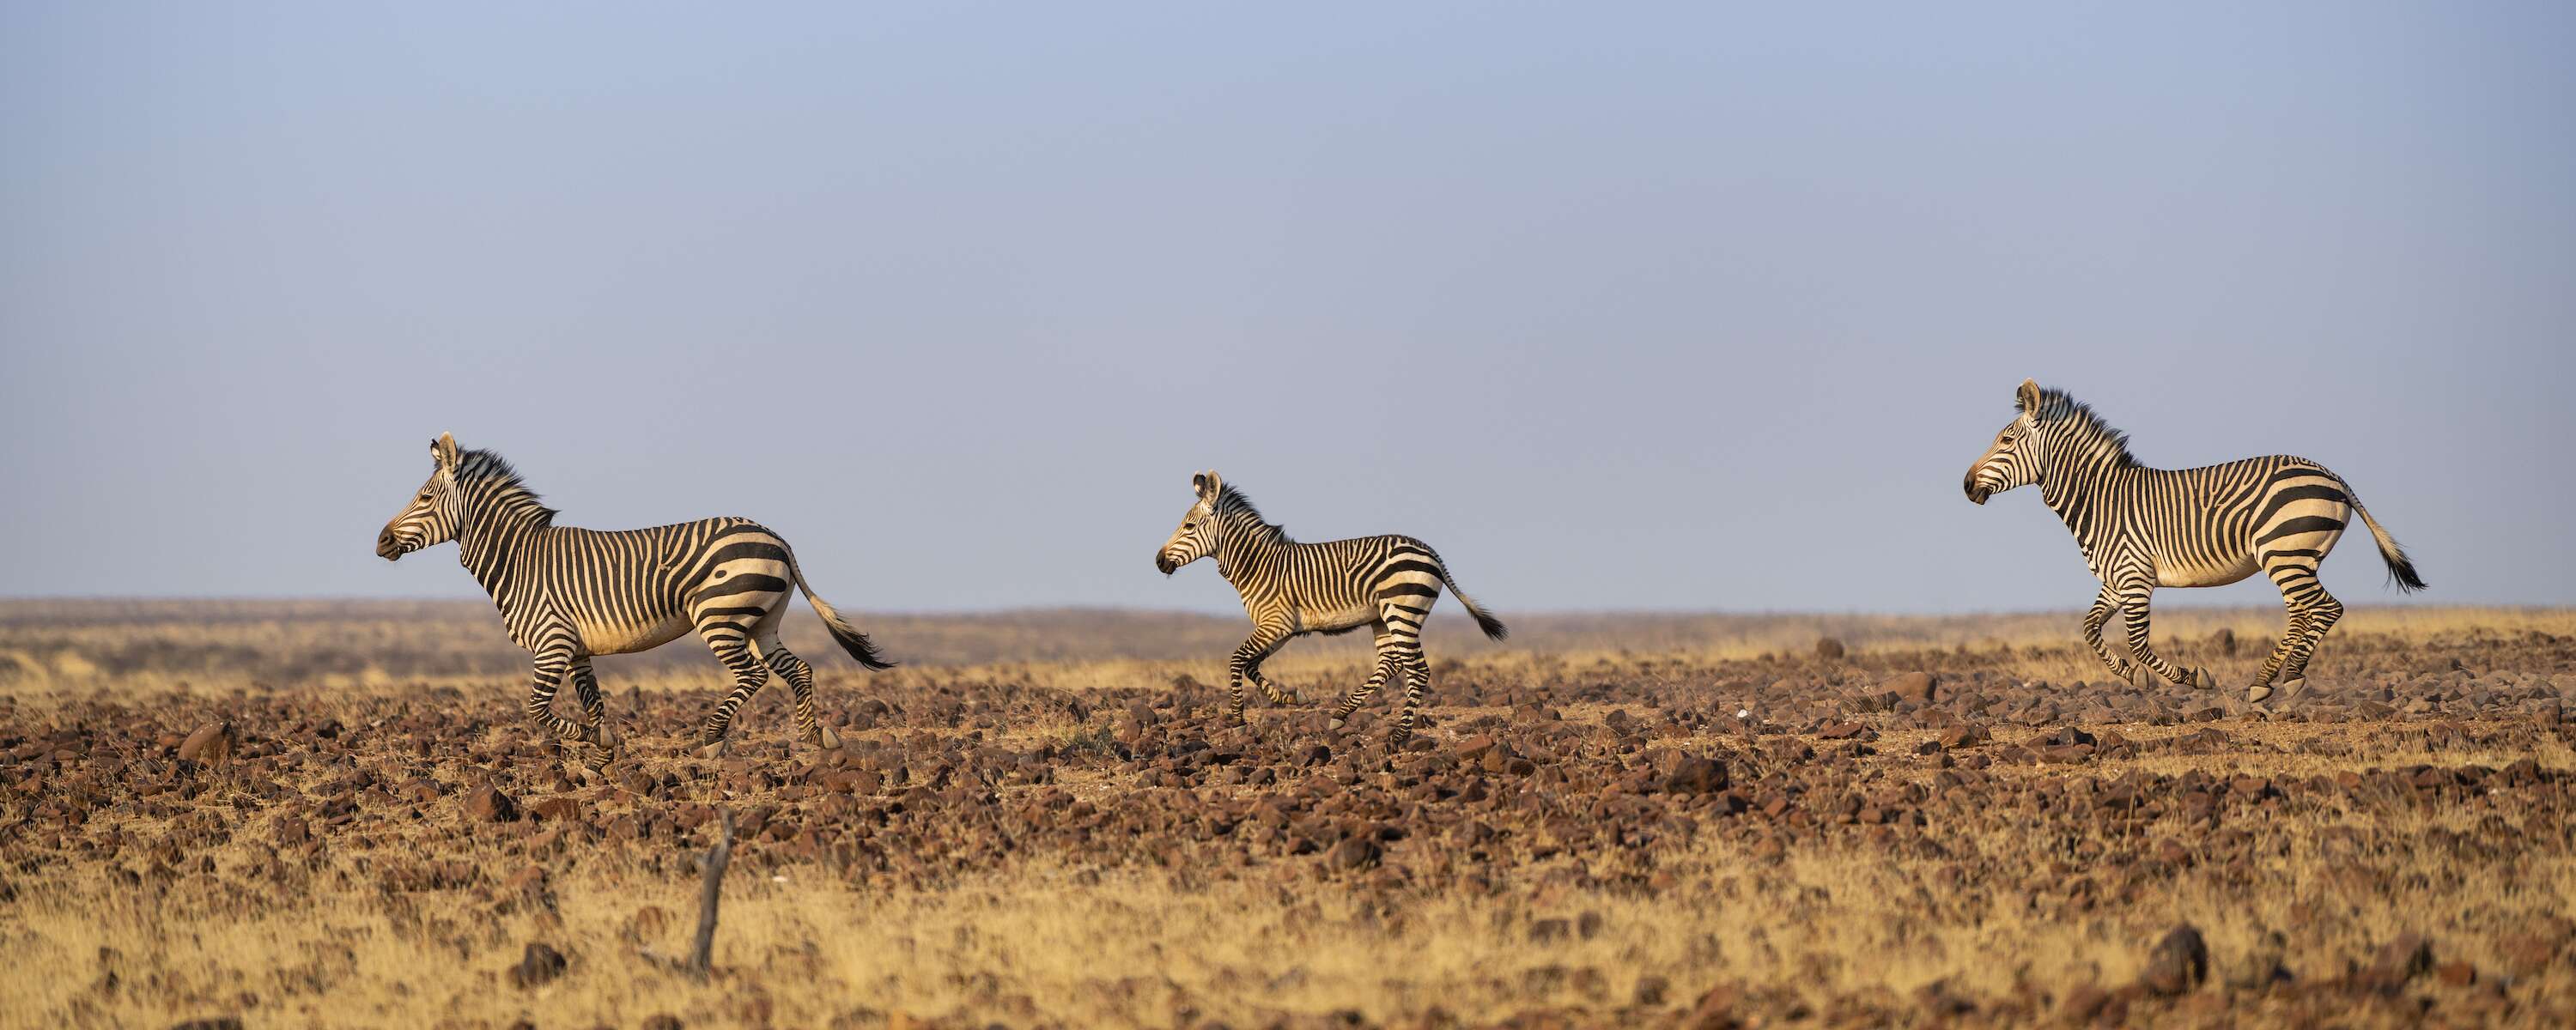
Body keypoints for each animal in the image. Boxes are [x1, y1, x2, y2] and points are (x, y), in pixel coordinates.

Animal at [368, 433, 896, 762]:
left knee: (755, 675)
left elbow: (539, 711)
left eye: (425, 498)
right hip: (761, 622)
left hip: (720, 616)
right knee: (798, 670)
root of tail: (777, 538)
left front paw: (591, 741)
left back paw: (713, 740)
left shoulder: (552, 642)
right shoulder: (576, 648)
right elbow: (592, 701)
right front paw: (602, 754)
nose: (381, 542)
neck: (518, 559)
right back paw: (819, 739)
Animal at [1154, 471, 1504, 747]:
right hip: (1382, 618)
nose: (1158, 561)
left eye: (1188, 526)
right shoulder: (1282, 628)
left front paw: (1238, 719)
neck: (1258, 565)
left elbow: (1237, 659)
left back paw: (1400, 735)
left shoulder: (1277, 623)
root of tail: (1430, 552)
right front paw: (1290, 698)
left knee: (1417, 670)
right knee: (1390, 664)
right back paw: (1341, 714)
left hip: (1401, 612)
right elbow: (1251, 665)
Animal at [1958, 381, 2421, 706]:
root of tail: (2332, 475)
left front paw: (2191, 678)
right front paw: (2132, 675)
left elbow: (2138, 642)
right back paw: (2269, 679)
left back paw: (2283, 679)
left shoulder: (2135, 578)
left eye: (2006, 441)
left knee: (2326, 609)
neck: (2100, 500)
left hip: (2283, 552)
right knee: (2303, 613)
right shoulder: (2115, 581)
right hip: (2297, 557)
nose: (1965, 485)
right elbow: (2090, 630)